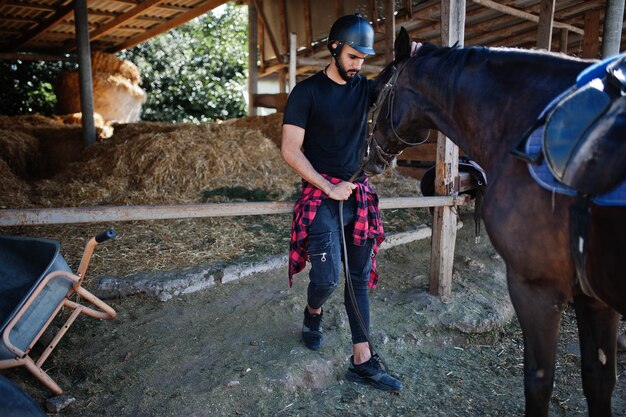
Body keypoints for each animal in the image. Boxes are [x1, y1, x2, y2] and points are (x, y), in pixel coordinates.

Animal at [366, 27, 624, 414]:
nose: (370, 158)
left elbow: (538, 382)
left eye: (379, 90)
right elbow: (598, 378)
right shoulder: (593, 297)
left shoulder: (536, 287)